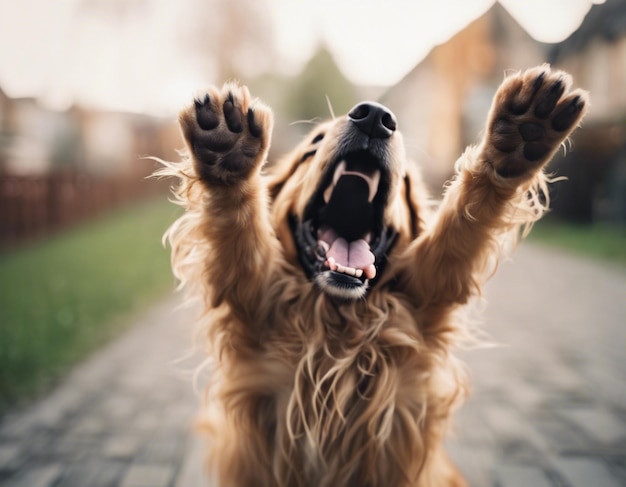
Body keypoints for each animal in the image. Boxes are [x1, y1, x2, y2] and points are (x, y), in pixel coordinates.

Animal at [157, 66, 584, 487]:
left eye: (406, 177)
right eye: (313, 145)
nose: (376, 117)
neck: (338, 322)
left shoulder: (428, 292)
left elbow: (461, 226)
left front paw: (514, 143)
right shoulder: (255, 302)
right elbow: (239, 229)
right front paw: (227, 158)